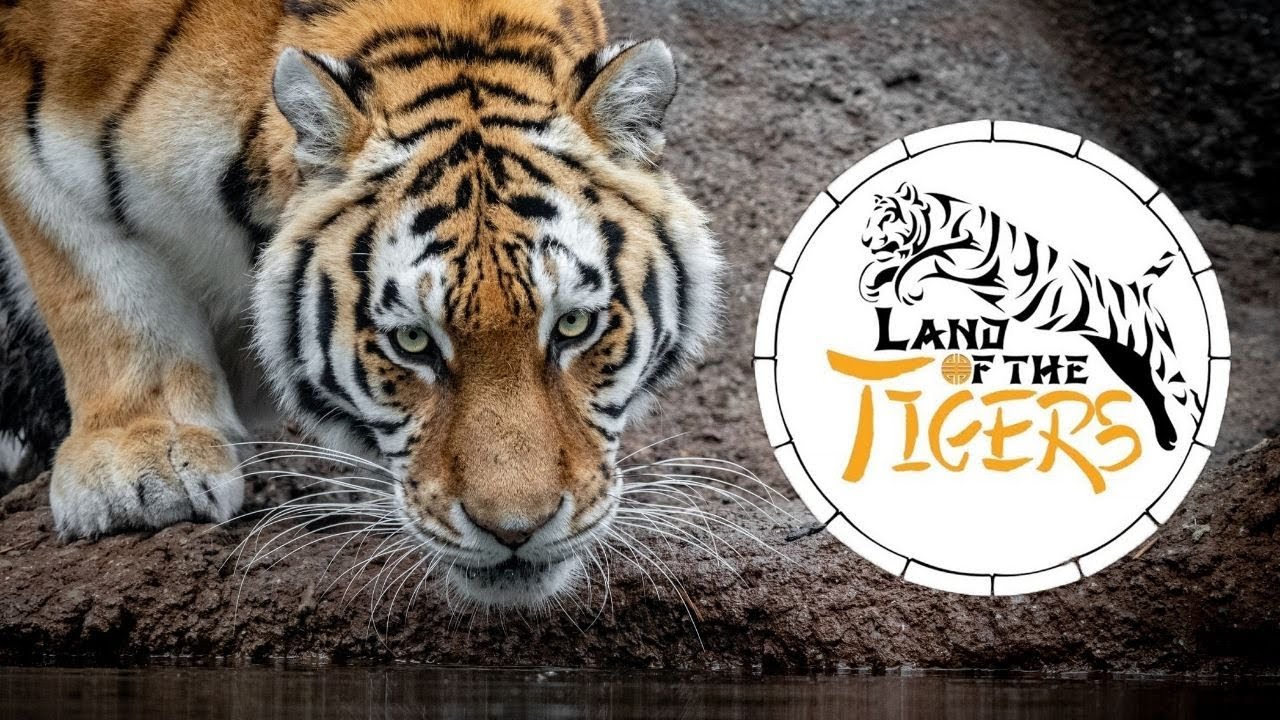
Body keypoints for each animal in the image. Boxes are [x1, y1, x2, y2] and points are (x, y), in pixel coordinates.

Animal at [0, 0, 722, 608]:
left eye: (573, 325)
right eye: (413, 341)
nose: (516, 531)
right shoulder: (27, 125)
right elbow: (106, 295)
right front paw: (142, 468)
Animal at [858, 181, 1200, 452]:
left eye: (887, 217)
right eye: (870, 219)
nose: (864, 241)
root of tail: (1138, 288)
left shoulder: (968, 258)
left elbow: (922, 261)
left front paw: (905, 287)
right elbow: (894, 264)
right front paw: (872, 282)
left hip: (1159, 357)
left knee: (1188, 396)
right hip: (1123, 359)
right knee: (1154, 394)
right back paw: (1169, 441)